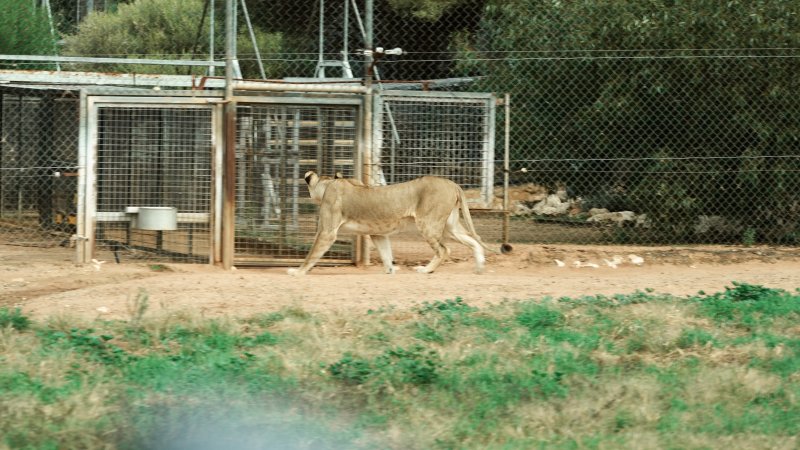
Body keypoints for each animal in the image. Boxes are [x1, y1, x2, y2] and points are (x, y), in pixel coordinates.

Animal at [287, 171, 496, 276]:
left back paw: (425, 270)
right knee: (475, 241)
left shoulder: (327, 231)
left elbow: (312, 254)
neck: (329, 184)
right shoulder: (378, 234)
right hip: (450, 227)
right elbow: (386, 253)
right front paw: (391, 269)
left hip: (428, 223)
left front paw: (297, 271)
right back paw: (479, 267)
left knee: (444, 250)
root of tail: (453, 184)